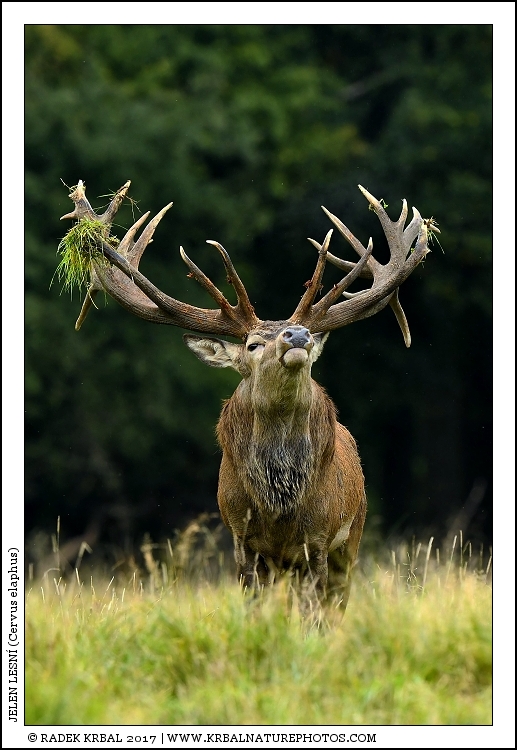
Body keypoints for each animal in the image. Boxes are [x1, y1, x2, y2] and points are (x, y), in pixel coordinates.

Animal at [60, 180, 433, 611]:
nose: (298, 335)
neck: (279, 506)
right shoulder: (241, 535)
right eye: (253, 344)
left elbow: (314, 610)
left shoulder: (320, 538)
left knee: (335, 603)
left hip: (353, 533)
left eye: (304, 332)